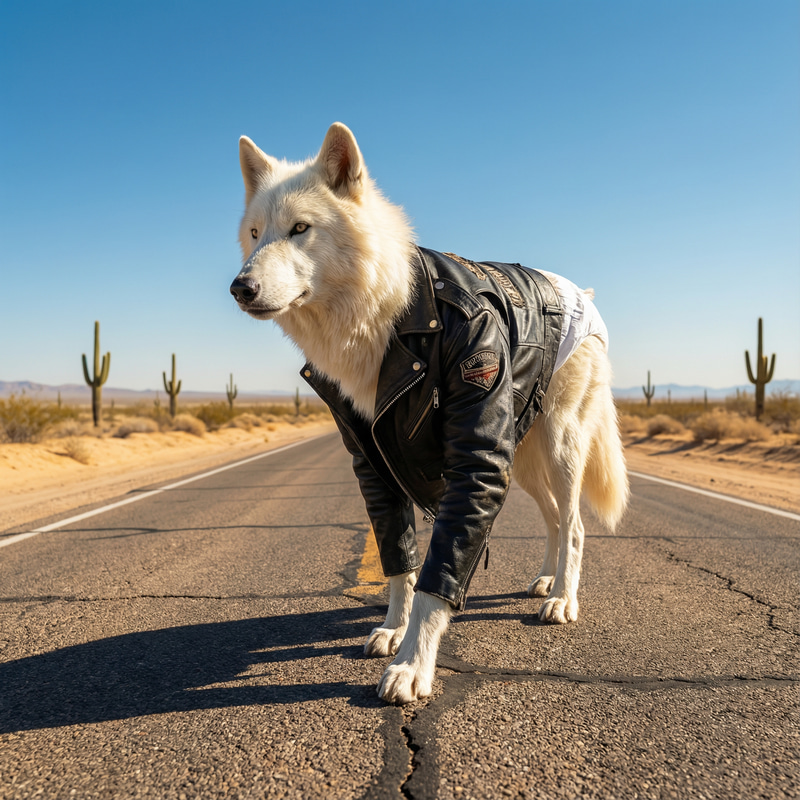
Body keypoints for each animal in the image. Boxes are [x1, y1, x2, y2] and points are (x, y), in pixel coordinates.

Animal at [230, 123, 629, 705]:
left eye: (300, 228)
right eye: (256, 234)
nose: (240, 288)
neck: (388, 312)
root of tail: (585, 292)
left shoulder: (475, 459)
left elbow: (436, 579)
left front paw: (413, 662)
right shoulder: (375, 463)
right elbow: (400, 563)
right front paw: (393, 629)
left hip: (556, 448)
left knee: (575, 524)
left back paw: (562, 600)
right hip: (523, 460)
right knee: (556, 518)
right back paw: (546, 582)